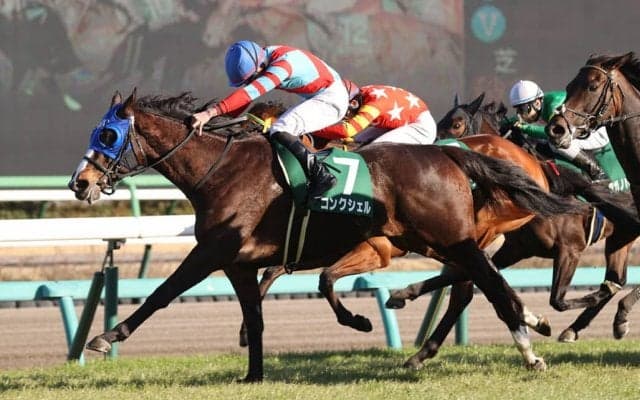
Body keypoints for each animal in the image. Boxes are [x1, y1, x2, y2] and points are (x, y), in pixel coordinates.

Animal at [69, 89, 578, 380]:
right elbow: (256, 315)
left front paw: (106, 336)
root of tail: (449, 154)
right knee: (478, 283)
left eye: (109, 136)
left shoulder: (212, 251)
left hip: (453, 239)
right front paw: (254, 375)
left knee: (486, 285)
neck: (221, 171)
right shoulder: (238, 264)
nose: (79, 182)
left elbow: (162, 292)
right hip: (434, 240)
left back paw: (530, 350)